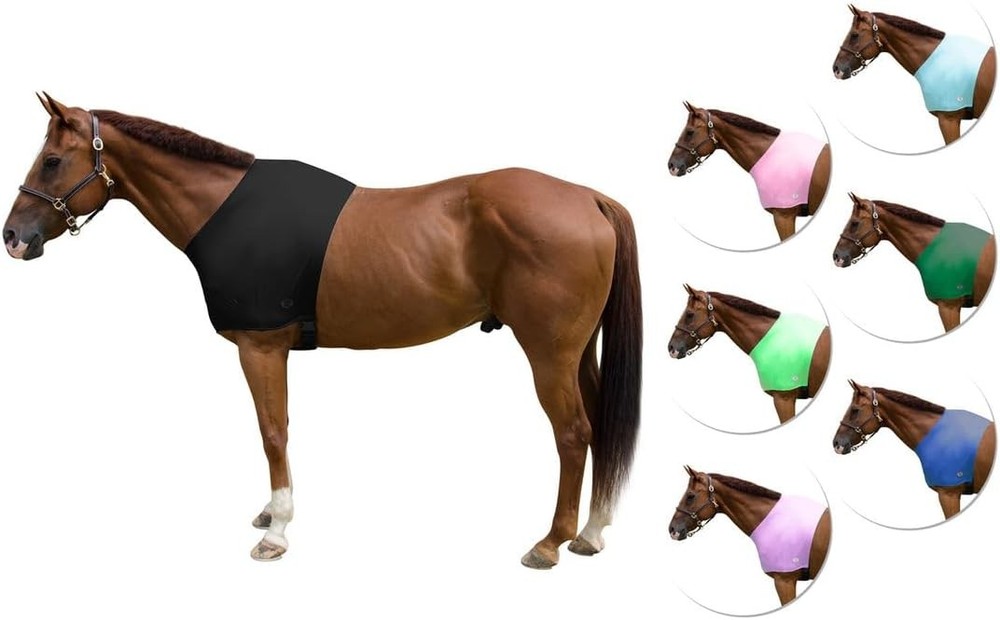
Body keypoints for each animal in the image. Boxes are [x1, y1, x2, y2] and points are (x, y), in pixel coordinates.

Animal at [3, 93, 643, 569]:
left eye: (51, 161)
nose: (14, 237)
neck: (227, 210)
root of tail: (590, 198)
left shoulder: (261, 347)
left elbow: (273, 432)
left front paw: (276, 531)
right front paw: (271, 514)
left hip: (548, 355)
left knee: (573, 434)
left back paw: (550, 542)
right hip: (579, 353)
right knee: (599, 423)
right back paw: (591, 533)